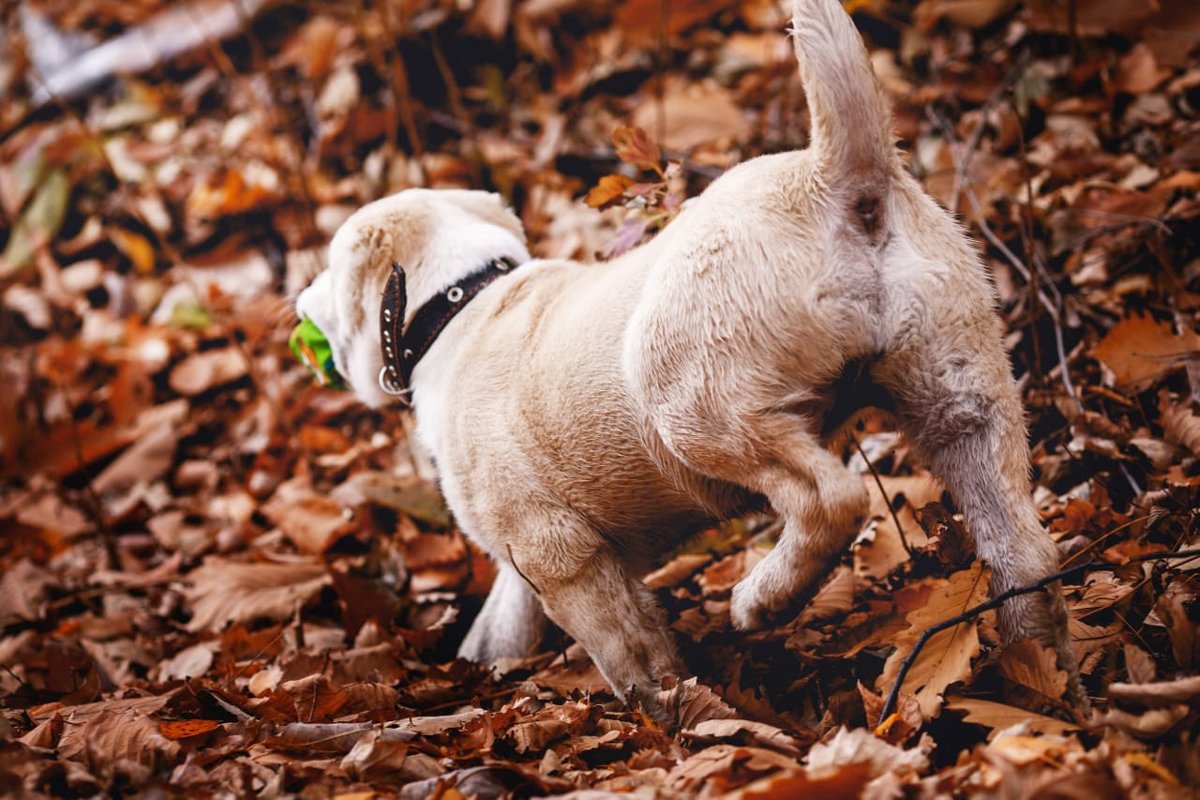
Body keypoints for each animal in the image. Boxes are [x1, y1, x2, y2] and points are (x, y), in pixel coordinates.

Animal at [297, 0, 1080, 714]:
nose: (299, 302)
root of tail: (834, 176)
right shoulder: (531, 559)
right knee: (1021, 546)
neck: (461, 300)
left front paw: (665, 712)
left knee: (831, 498)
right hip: (960, 394)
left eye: (329, 272)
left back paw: (762, 600)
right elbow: (502, 626)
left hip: (690, 401)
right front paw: (485, 666)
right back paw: (1038, 670)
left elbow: (628, 649)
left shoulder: (557, 550)